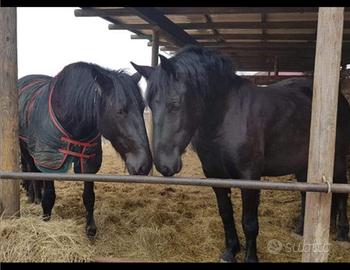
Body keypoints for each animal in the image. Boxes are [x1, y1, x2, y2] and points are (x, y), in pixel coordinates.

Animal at [17, 61, 152, 236]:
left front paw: (90, 229)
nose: (145, 165)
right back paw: (33, 197)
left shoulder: (88, 161)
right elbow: (49, 197)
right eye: (119, 110)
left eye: (143, 107)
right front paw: (45, 221)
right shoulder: (49, 162)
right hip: (26, 150)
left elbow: (89, 197)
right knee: (31, 170)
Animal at [131, 46, 350, 262]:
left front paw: (250, 258)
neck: (226, 117)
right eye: (150, 105)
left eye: (175, 104)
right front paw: (230, 251)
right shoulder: (214, 175)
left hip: (338, 161)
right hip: (302, 165)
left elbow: (249, 222)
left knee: (341, 192)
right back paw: (300, 231)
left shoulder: (249, 177)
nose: (164, 165)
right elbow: (226, 214)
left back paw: (342, 234)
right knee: (306, 194)